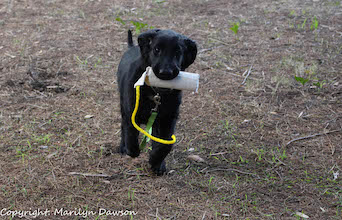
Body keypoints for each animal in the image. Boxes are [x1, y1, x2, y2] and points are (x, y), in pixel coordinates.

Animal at [117, 29, 198, 174]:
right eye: (156, 49)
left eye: (178, 52)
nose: (165, 72)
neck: (156, 93)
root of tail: (131, 47)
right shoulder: (131, 112)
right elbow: (130, 134)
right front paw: (132, 151)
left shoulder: (168, 119)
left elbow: (166, 144)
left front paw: (156, 160)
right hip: (122, 104)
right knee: (123, 127)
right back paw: (122, 147)